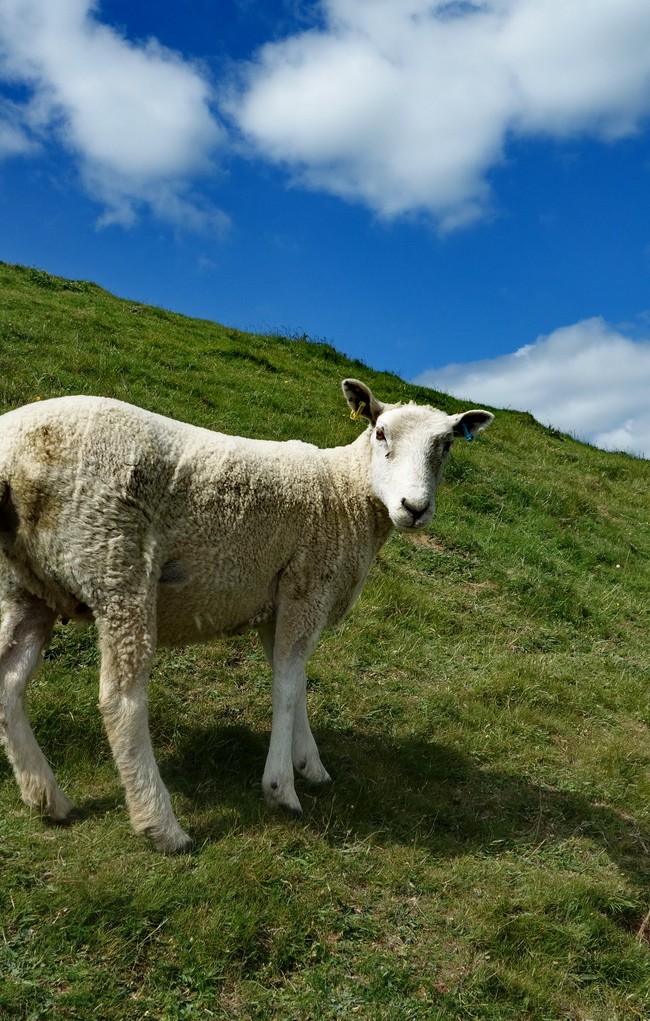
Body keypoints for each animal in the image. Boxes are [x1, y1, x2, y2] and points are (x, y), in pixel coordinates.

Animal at [0, 379, 491, 849]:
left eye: (447, 445)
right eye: (381, 432)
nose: (415, 508)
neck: (346, 494)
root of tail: (9, 452)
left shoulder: (279, 601)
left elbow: (295, 678)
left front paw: (309, 763)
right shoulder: (307, 583)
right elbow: (287, 687)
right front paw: (281, 788)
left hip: (24, 583)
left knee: (8, 683)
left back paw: (47, 798)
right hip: (115, 560)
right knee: (120, 699)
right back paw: (161, 825)